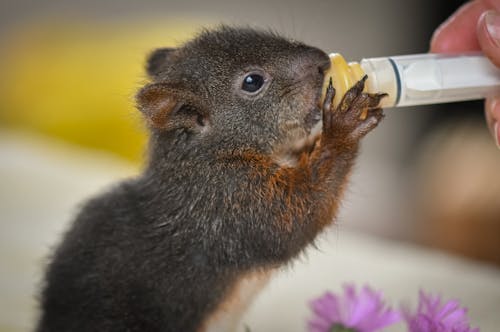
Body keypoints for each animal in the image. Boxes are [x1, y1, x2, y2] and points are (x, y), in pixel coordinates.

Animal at [37, 26, 384, 332]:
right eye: (252, 81)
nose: (322, 60)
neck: (212, 154)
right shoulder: (231, 201)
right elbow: (296, 217)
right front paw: (343, 127)